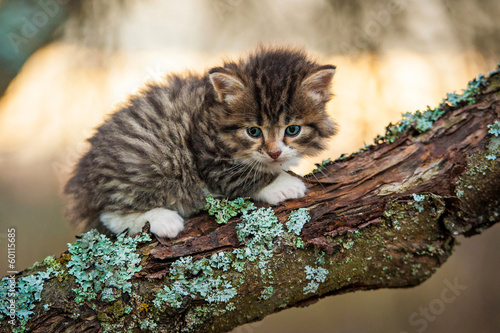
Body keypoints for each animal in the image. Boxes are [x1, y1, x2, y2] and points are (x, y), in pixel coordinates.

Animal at [62, 47, 336, 239]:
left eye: (292, 129)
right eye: (253, 131)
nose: (274, 153)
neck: (212, 112)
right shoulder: (207, 155)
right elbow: (241, 177)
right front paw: (283, 183)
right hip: (149, 162)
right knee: (111, 214)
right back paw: (163, 220)